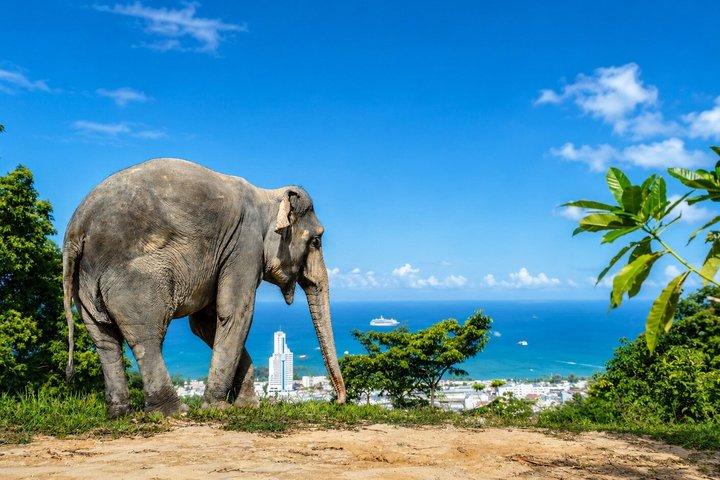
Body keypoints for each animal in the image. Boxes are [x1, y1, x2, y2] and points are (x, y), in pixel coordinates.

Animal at [62, 158, 346, 416]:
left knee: (103, 339)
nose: (339, 402)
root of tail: (75, 230)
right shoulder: (244, 246)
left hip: (82, 283)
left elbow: (205, 324)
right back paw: (174, 412)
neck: (266, 195)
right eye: (316, 241)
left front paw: (247, 406)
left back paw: (121, 413)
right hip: (136, 277)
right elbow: (235, 313)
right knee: (146, 336)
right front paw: (218, 407)